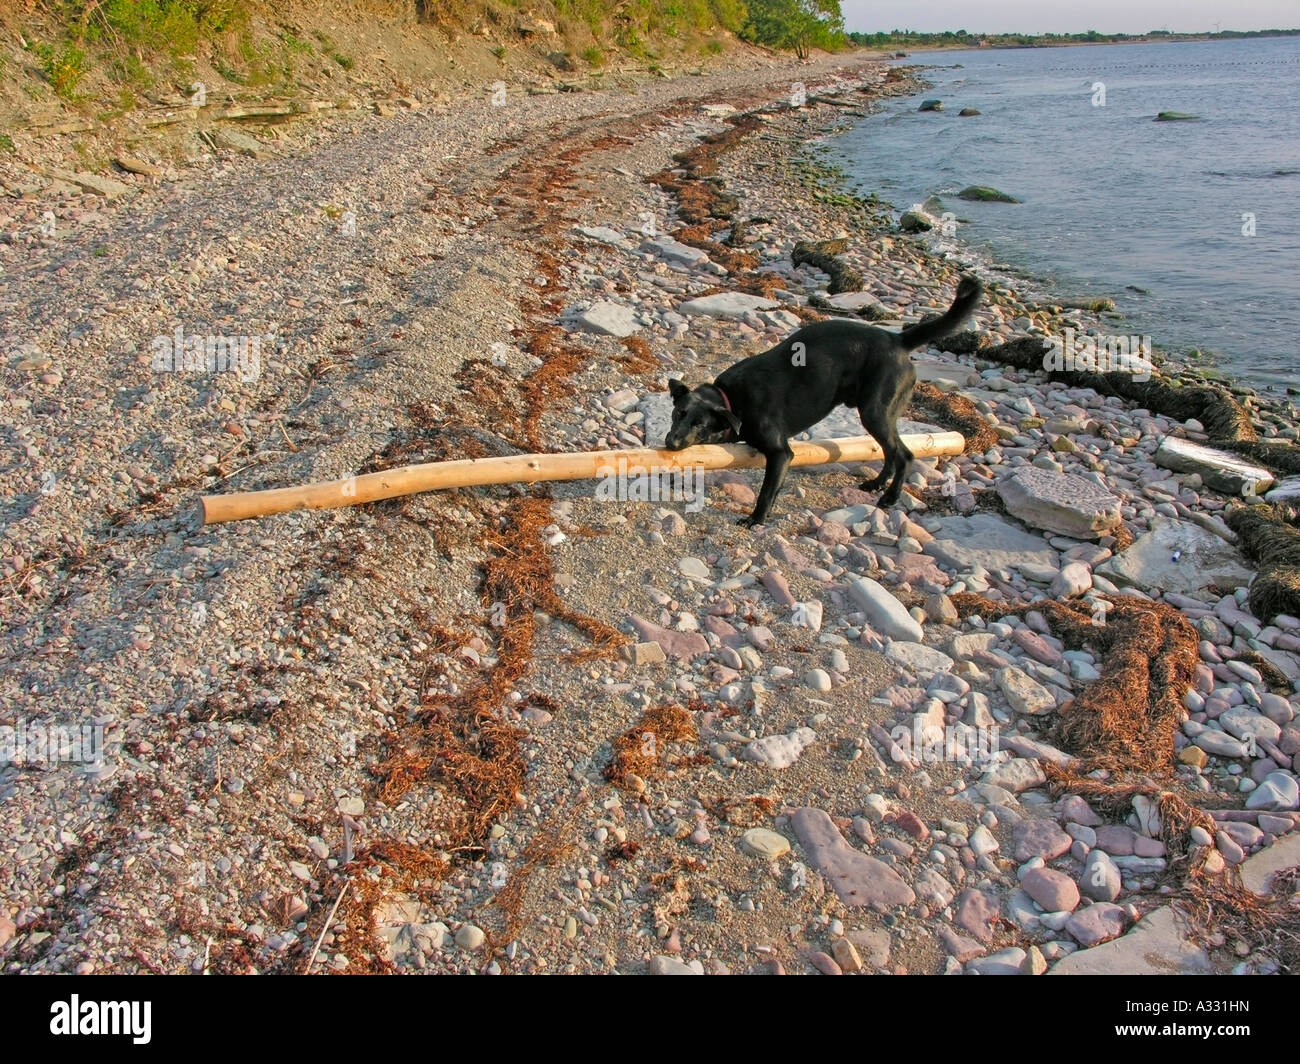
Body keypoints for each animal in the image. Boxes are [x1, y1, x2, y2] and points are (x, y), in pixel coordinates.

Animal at [665, 273, 977, 522]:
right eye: (679, 413)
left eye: (700, 424)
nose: (670, 443)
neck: (731, 398)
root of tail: (897, 339)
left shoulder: (781, 454)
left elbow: (767, 491)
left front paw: (756, 519)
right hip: (878, 415)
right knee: (891, 451)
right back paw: (877, 484)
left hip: (875, 410)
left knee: (905, 454)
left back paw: (889, 497)